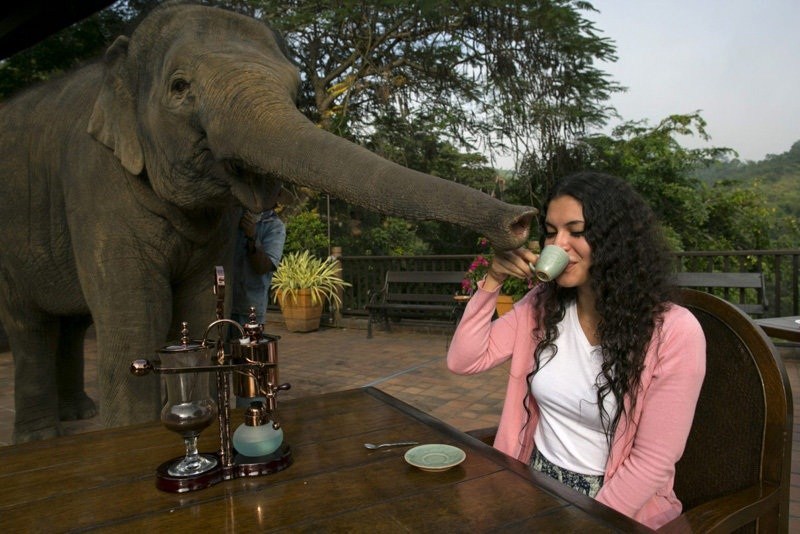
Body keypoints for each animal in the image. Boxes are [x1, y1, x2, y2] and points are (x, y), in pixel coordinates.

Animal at [0, 2, 536, 446]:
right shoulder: (95, 180)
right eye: (179, 87)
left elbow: (197, 305)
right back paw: (42, 436)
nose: (523, 220)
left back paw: (77, 414)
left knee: (68, 324)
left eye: (296, 90)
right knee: (30, 325)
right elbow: (136, 315)